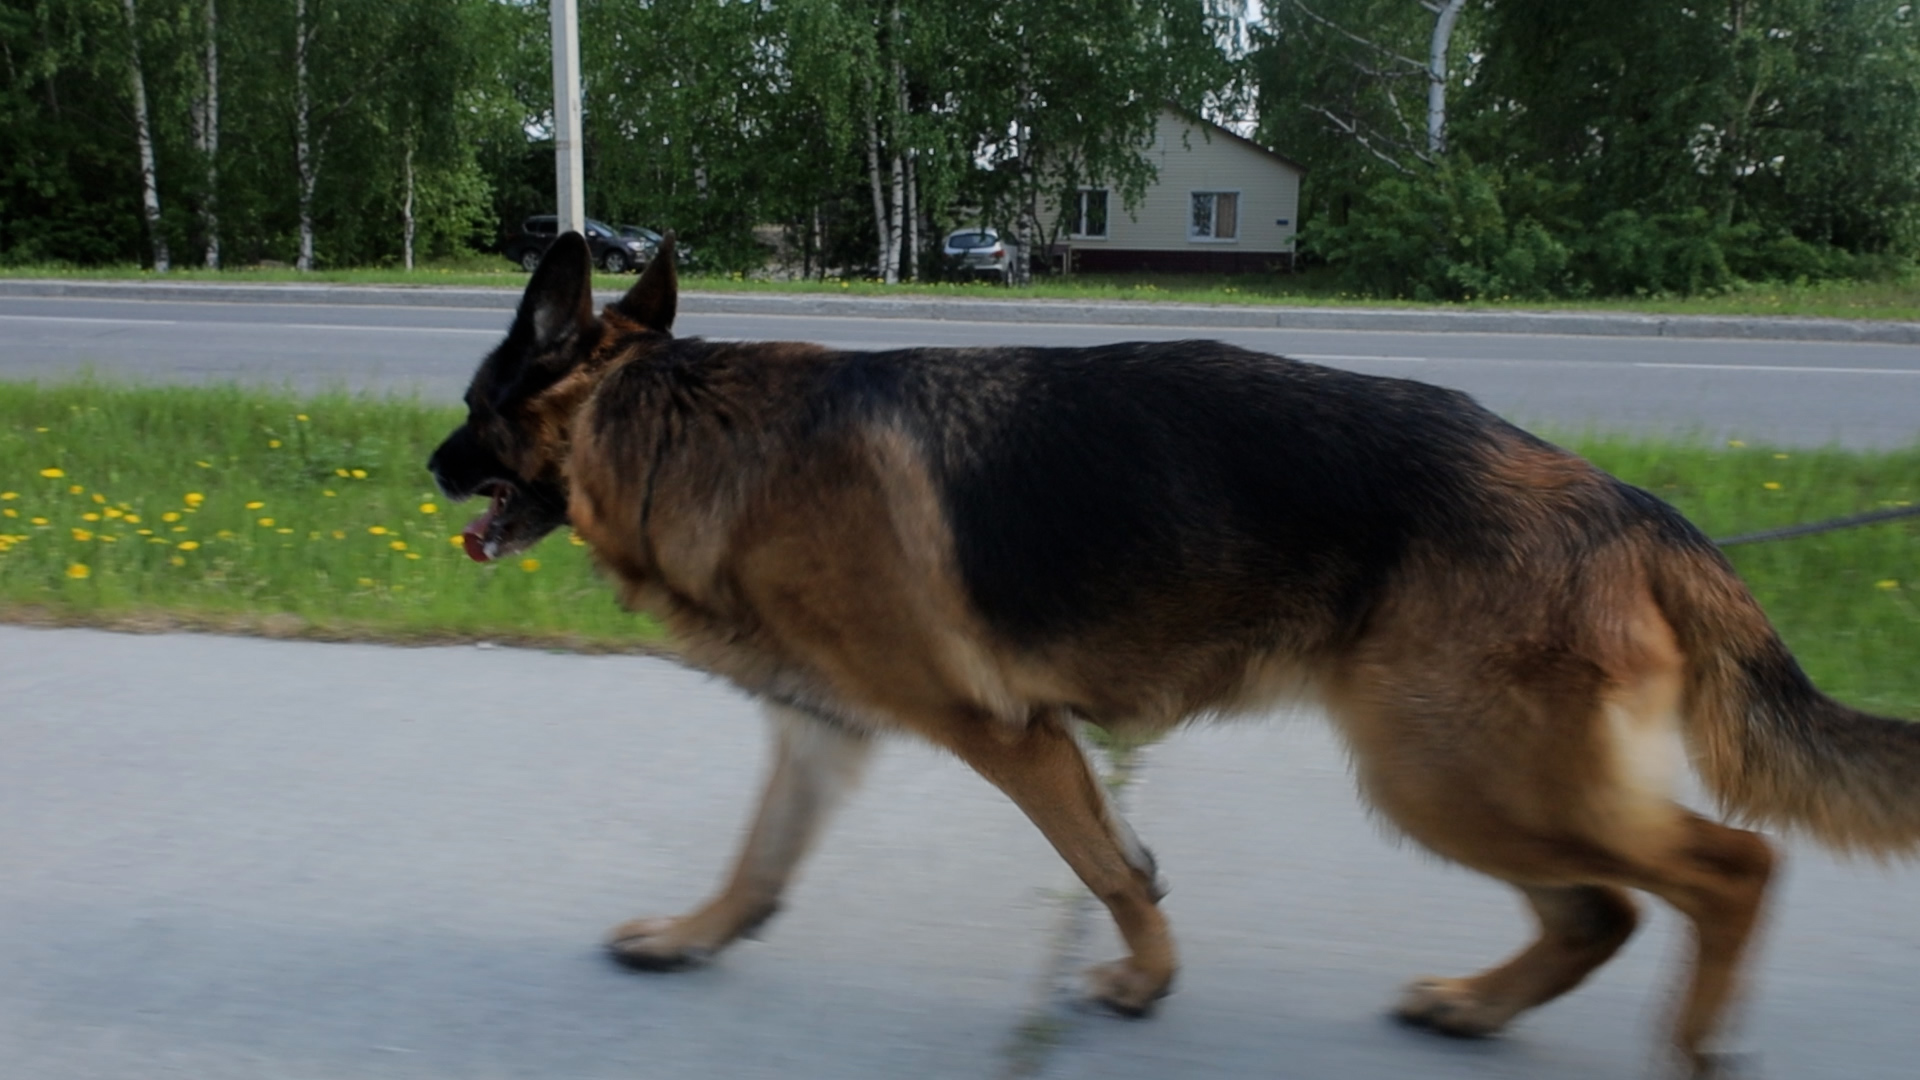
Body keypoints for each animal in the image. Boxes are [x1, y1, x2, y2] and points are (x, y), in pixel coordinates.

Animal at [435, 233, 1920, 1068]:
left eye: (471, 405)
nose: (428, 466)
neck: (675, 421)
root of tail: (1636, 506)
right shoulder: (828, 728)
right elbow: (758, 864)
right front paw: (693, 940)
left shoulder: (1004, 733)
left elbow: (1103, 866)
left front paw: (1148, 982)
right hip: (1463, 778)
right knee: (1600, 912)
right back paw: (1476, 1011)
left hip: (1451, 773)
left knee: (1727, 870)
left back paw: (1689, 1040)